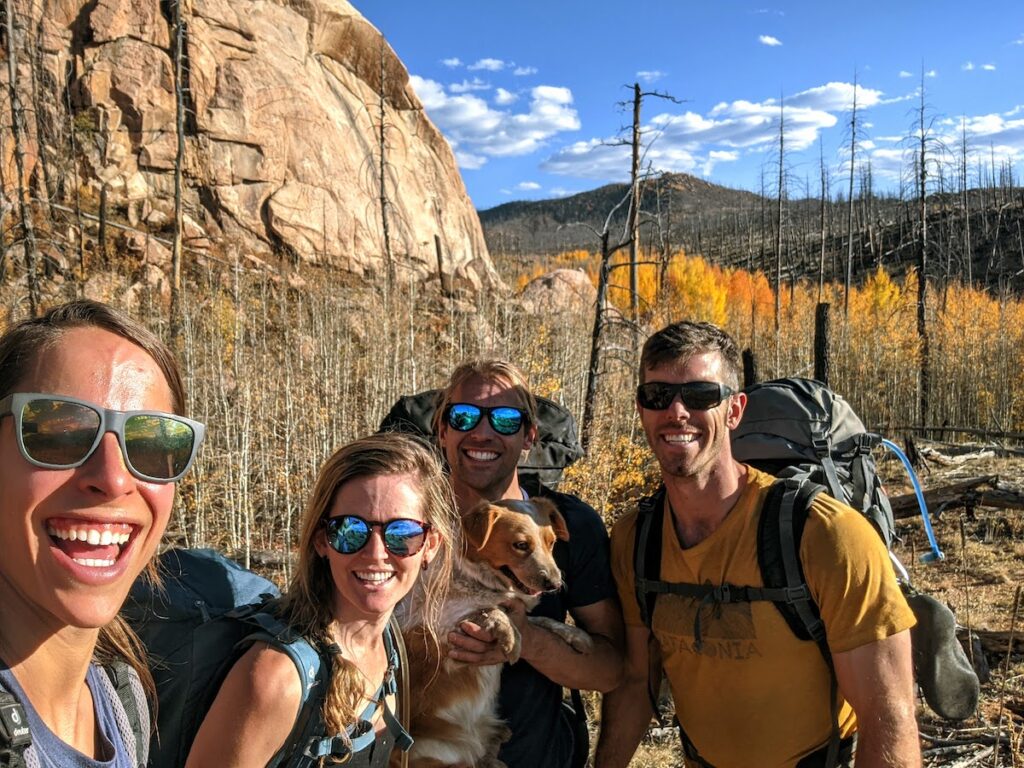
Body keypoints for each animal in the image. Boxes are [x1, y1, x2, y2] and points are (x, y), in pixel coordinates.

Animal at [397, 499, 593, 768]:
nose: (554, 584)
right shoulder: (433, 632)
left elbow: (540, 621)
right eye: (521, 545)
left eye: (551, 542)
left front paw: (575, 635)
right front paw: (510, 636)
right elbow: (489, 611)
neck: (473, 580)